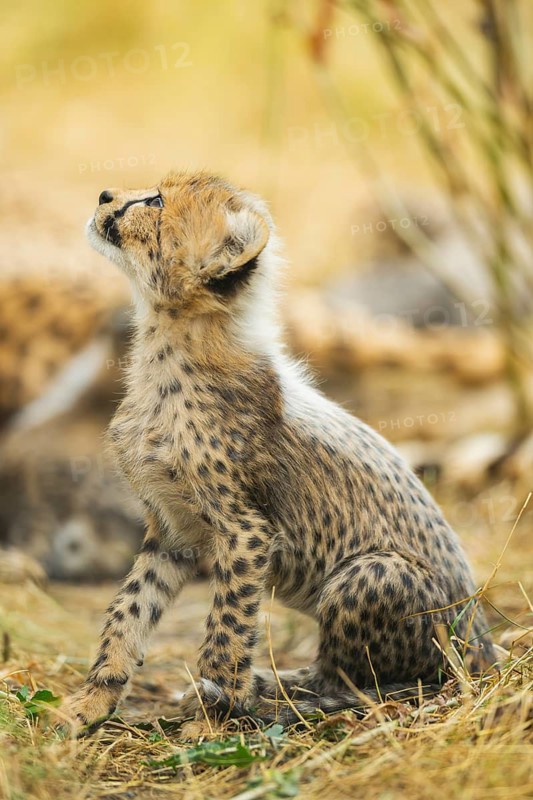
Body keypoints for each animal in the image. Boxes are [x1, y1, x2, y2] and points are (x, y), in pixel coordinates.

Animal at [62, 170, 496, 734]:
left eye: (155, 202)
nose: (104, 196)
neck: (170, 345)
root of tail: (486, 645)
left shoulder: (246, 533)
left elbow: (226, 632)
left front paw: (212, 718)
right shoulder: (172, 534)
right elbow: (129, 612)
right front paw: (93, 700)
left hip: (373, 573)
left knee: (378, 680)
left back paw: (282, 697)